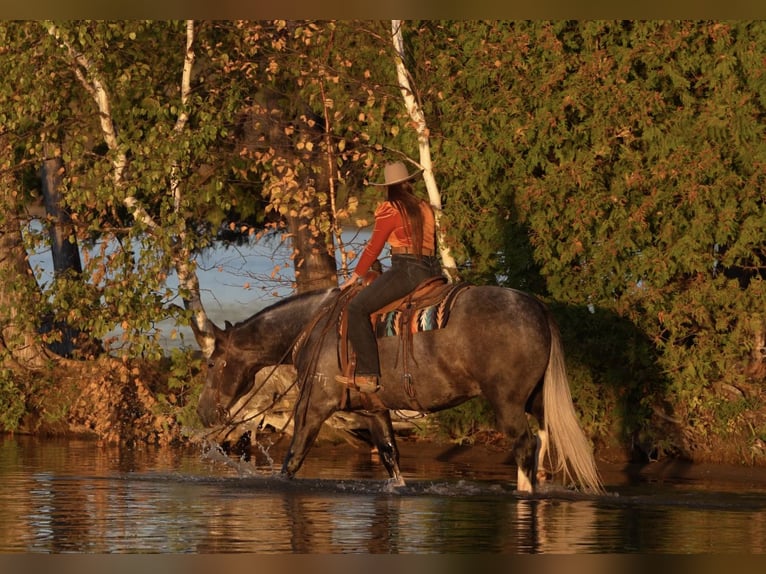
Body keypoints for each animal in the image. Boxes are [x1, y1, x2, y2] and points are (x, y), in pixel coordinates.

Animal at [194, 285, 604, 495]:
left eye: (211, 364)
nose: (205, 413)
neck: (313, 328)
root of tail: (536, 307)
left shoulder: (313, 407)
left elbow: (292, 460)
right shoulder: (375, 411)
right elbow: (391, 458)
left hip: (507, 403)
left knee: (524, 446)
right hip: (535, 401)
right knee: (542, 442)